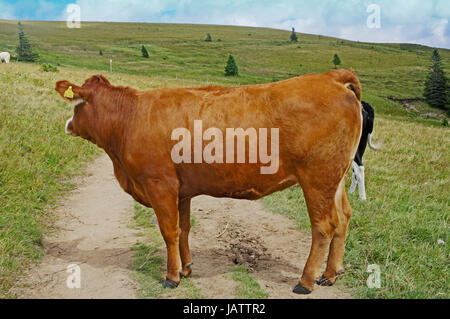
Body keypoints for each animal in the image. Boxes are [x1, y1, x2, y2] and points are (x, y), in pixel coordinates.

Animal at [54, 69, 362, 296]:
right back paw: (330, 274)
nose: (68, 125)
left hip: (317, 179)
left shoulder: (160, 185)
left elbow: (169, 231)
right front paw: (186, 268)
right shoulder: (182, 192)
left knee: (323, 227)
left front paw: (172, 276)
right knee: (343, 219)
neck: (130, 117)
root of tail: (330, 76)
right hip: (336, 180)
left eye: (77, 104)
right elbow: (184, 229)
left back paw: (306, 281)